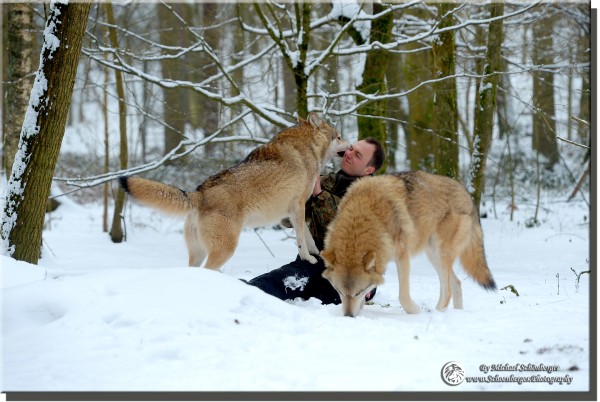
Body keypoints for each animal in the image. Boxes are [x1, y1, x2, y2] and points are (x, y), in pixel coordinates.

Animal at [119, 113, 350, 270]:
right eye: (339, 137)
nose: (350, 145)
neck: (308, 147)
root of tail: (199, 193)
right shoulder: (298, 205)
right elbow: (302, 238)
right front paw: (308, 258)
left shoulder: (297, 209)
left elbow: (307, 235)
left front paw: (315, 253)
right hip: (226, 249)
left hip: (198, 253)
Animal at [324, 172, 496, 318]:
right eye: (339, 291)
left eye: (358, 292)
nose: (348, 316)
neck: (365, 215)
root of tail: (467, 195)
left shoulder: (402, 256)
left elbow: (403, 297)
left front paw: (416, 312)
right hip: (433, 255)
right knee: (457, 283)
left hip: (440, 254)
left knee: (447, 290)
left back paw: (436, 314)